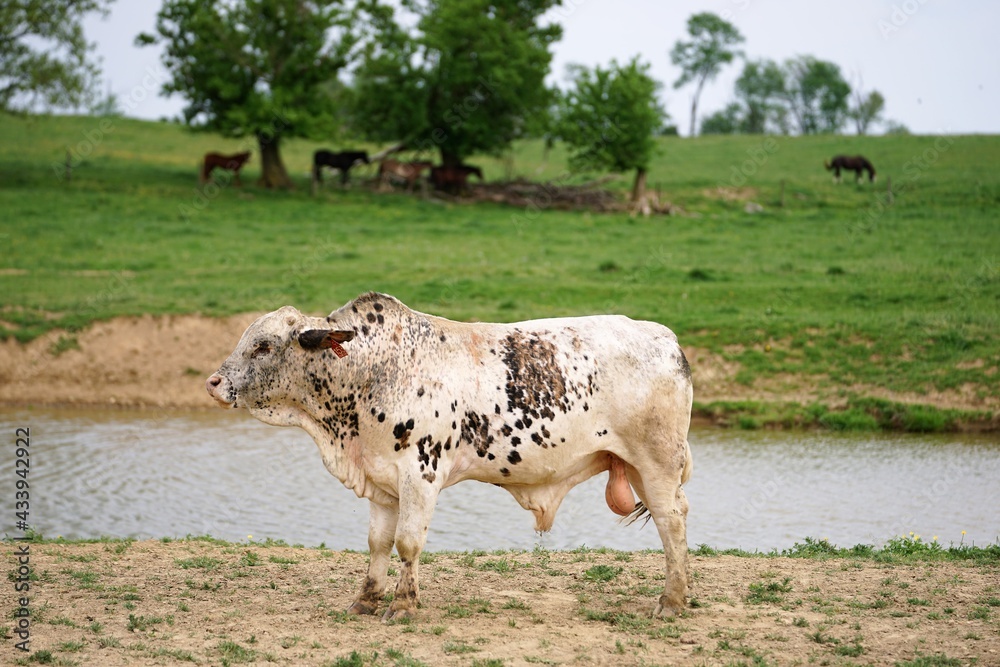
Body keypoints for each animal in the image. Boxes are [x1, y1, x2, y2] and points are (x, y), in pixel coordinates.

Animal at [205, 292, 693, 621]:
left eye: (263, 345)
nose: (213, 382)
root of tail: (666, 338)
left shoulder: (420, 475)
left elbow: (408, 542)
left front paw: (404, 606)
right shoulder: (383, 482)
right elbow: (378, 543)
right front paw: (366, 600)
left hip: (657, 463)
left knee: (671, 523)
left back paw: (671, 601)